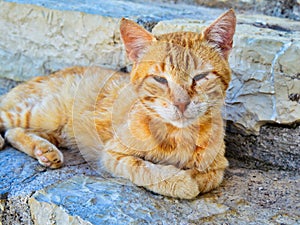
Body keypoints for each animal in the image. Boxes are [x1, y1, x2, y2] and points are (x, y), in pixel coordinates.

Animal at [0, 10, 236, 199]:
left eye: (200, 77)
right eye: (160, 79)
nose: (181, 103)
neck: (178, 136)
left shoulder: (219, 166)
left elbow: (208, 176)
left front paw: (191, 174)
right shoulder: (112, 155)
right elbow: (146, 169)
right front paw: (182, 182)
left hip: (60, 130)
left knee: (14, 132)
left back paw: (45, 151)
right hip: (44, 113)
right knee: (7, 120)